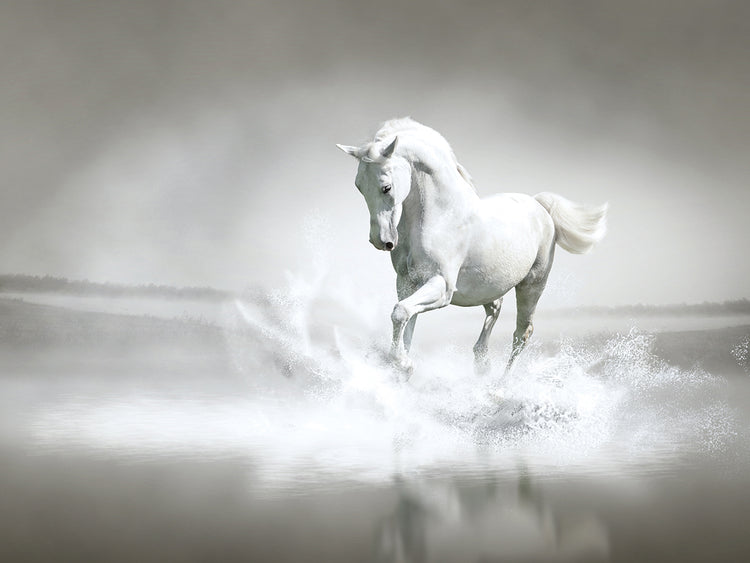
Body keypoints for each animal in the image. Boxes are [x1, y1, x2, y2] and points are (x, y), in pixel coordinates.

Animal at [337, 118, 607, 375]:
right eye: (359, 186)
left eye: (386, 187)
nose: (381, 241)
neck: (441, 216)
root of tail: (539, 205)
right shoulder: (407, 283)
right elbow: (405, 322)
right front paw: (401, 367)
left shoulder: (442, 286)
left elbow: (400, 313)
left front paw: (403, 365)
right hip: (489, 285)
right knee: (495, 308)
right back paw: (481, 363)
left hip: (532, 285)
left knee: (521, 334)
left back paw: (500, 384)